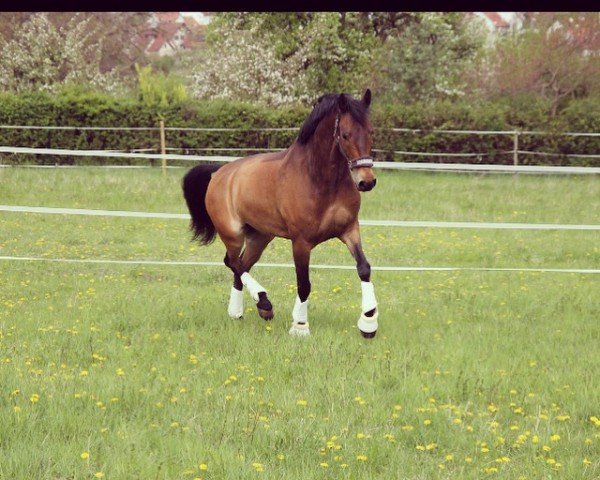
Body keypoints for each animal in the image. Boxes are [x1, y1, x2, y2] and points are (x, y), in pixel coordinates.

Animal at [183, 90, 380, 338]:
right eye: (345, 135)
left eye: (371, 132)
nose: (366, 182)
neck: (319, 179)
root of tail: (219, 173)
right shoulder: (301, 242)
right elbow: (304, 284)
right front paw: (300, 326)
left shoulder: (349, 229)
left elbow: (364, 268)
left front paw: (368, 322)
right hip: (232, 234)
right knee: (232, 262)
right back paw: (264, 302)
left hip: (259, 237)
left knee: (241, 266)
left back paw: (239, 312)